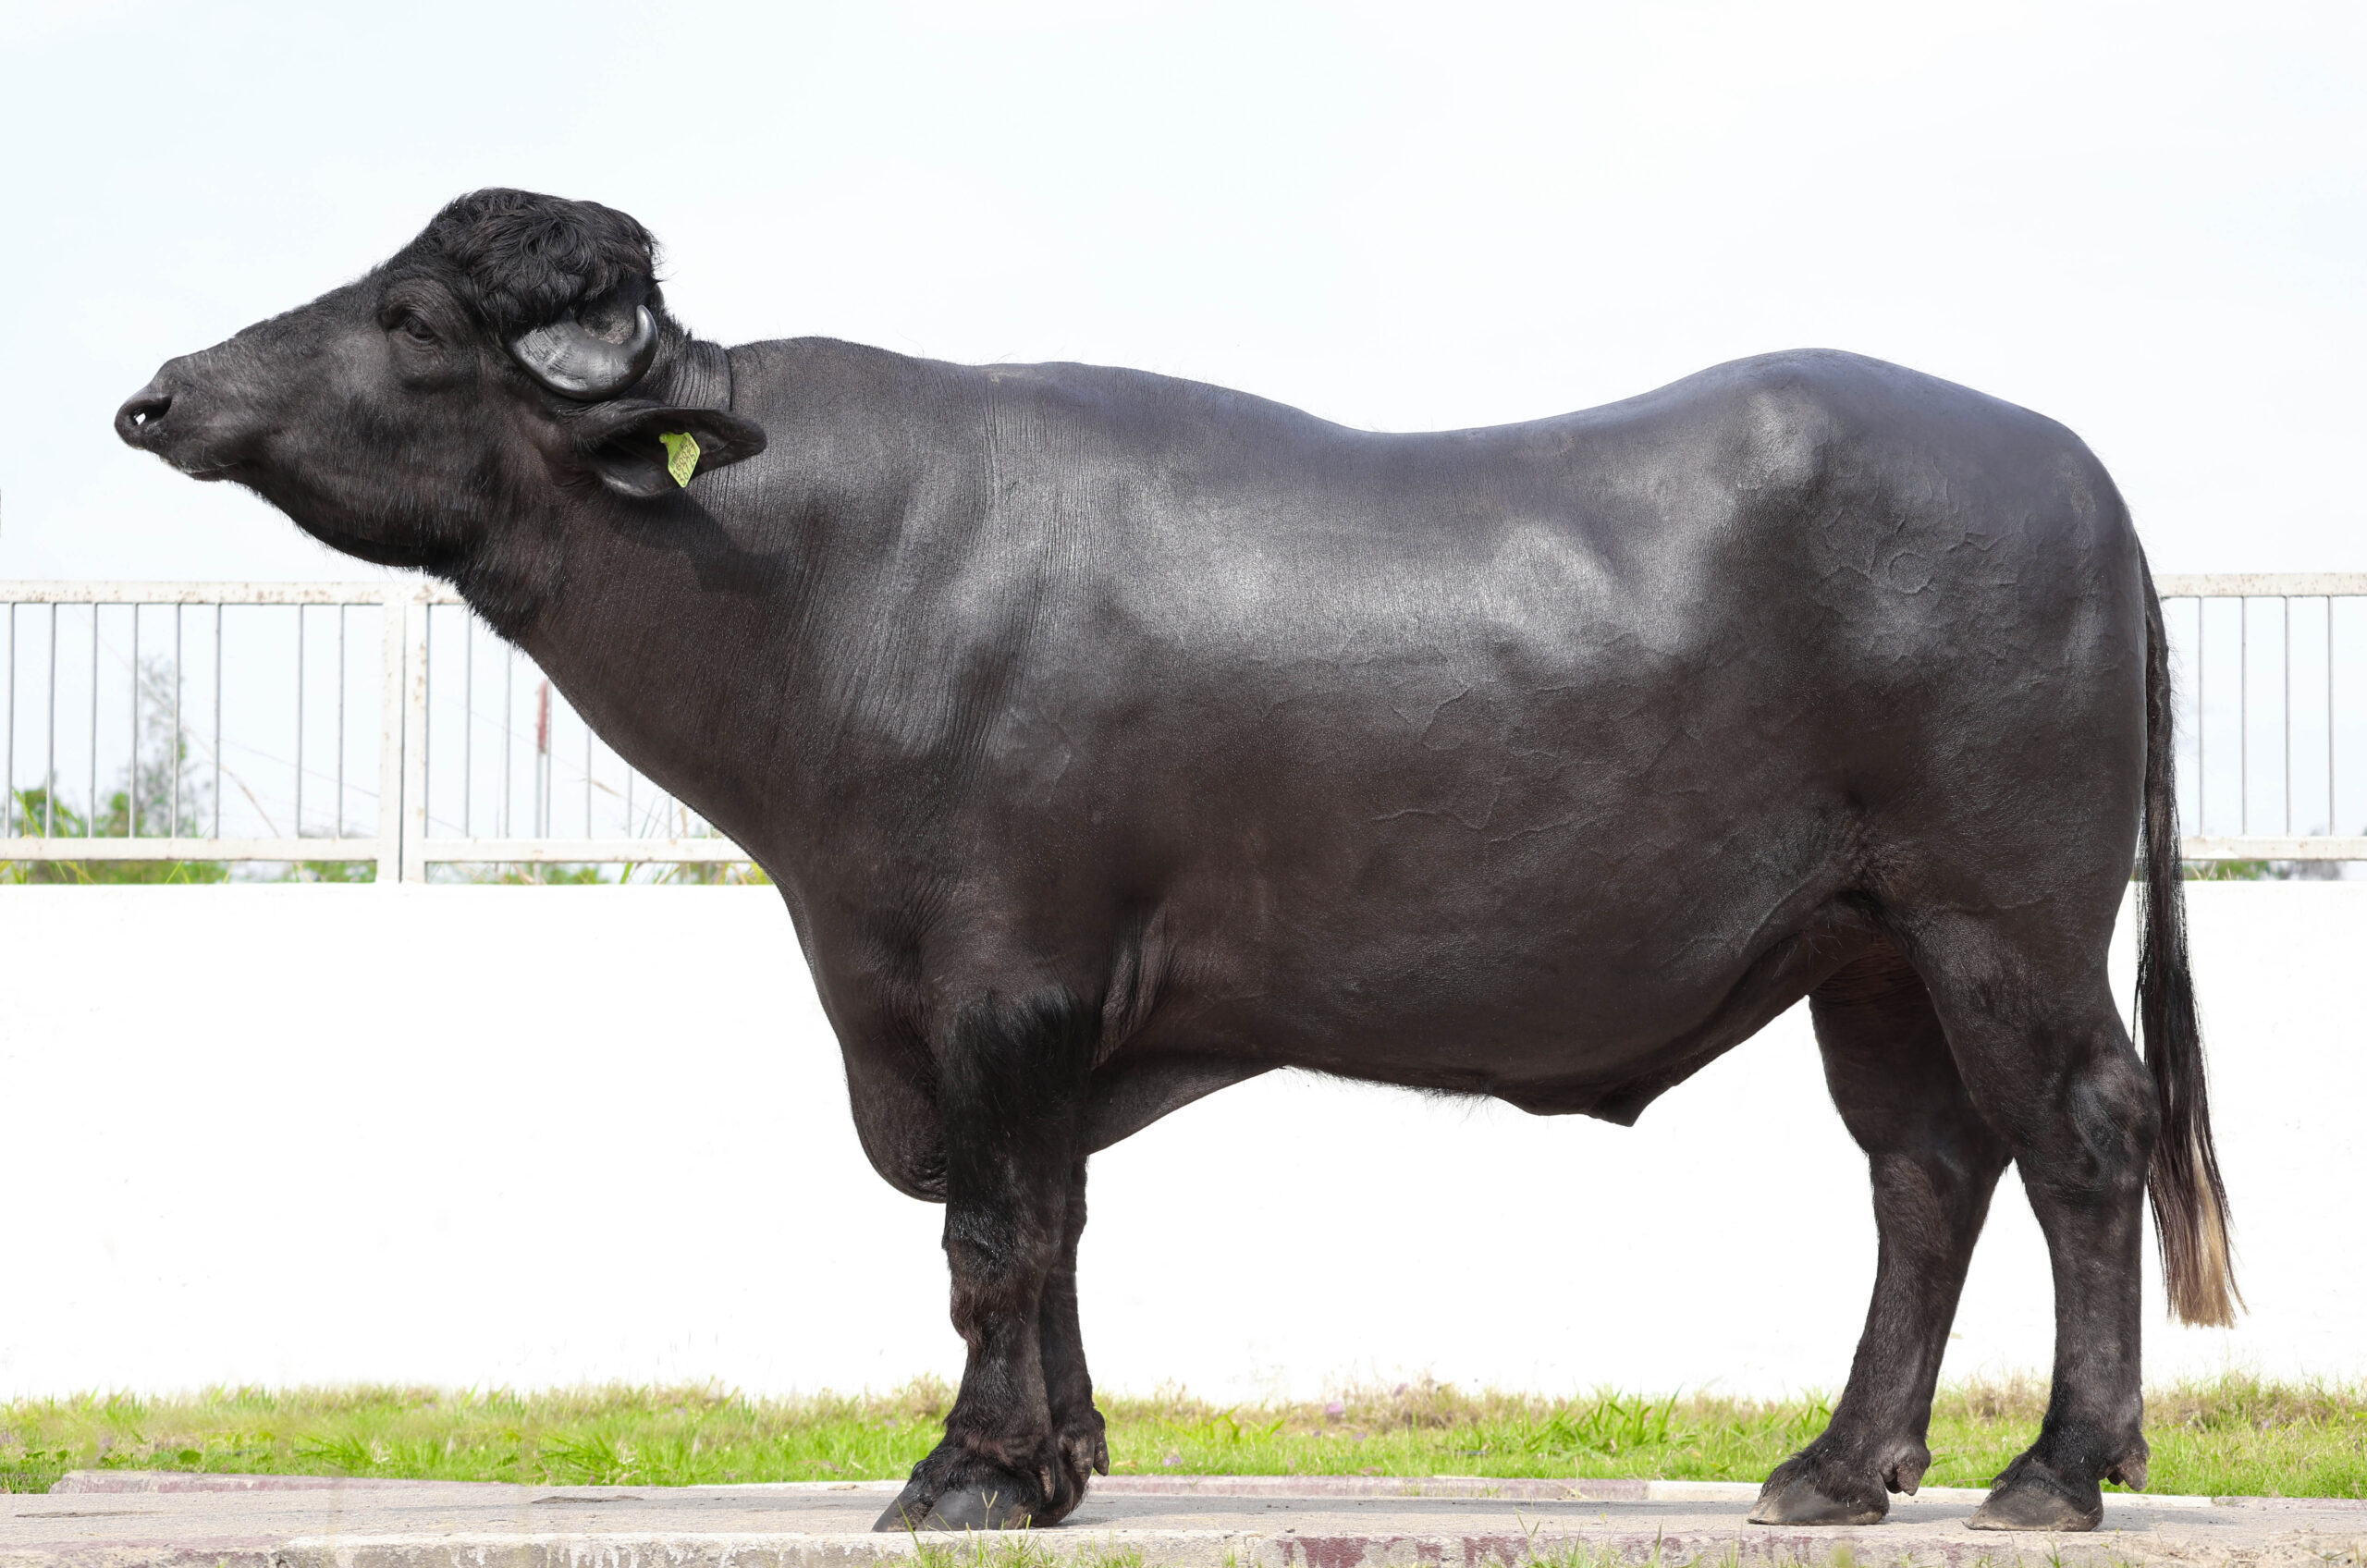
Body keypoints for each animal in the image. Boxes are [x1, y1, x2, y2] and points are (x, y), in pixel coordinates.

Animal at [117, 188, 2236, 1536]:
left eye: (408, 321)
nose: (160, 391)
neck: (817, 570)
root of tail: (2073, 470)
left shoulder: (991, 981)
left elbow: (993, 1234)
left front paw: (969, 1470)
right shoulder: (991, 1009)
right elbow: (1048, 1224)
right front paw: (1059, 1456)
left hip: (2002, 921)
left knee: (2079, 1138)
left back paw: (2056, 1468)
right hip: (1866, 951)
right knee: (1921, 1175)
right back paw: (1835, 1465)